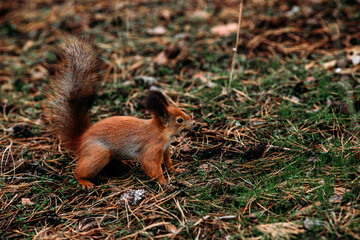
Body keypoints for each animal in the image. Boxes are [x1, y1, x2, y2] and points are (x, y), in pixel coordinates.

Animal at [48, 36, 194, 189]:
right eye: (180, 120)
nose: (193, 123)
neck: (161, 132)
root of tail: (80, 140)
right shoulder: (151, 148)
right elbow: (152, 166)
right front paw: (164, 182)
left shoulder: (165, 150)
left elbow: (168, 163)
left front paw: (175, 171)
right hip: (98, 153)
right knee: (79, 171)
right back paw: (84, 181)